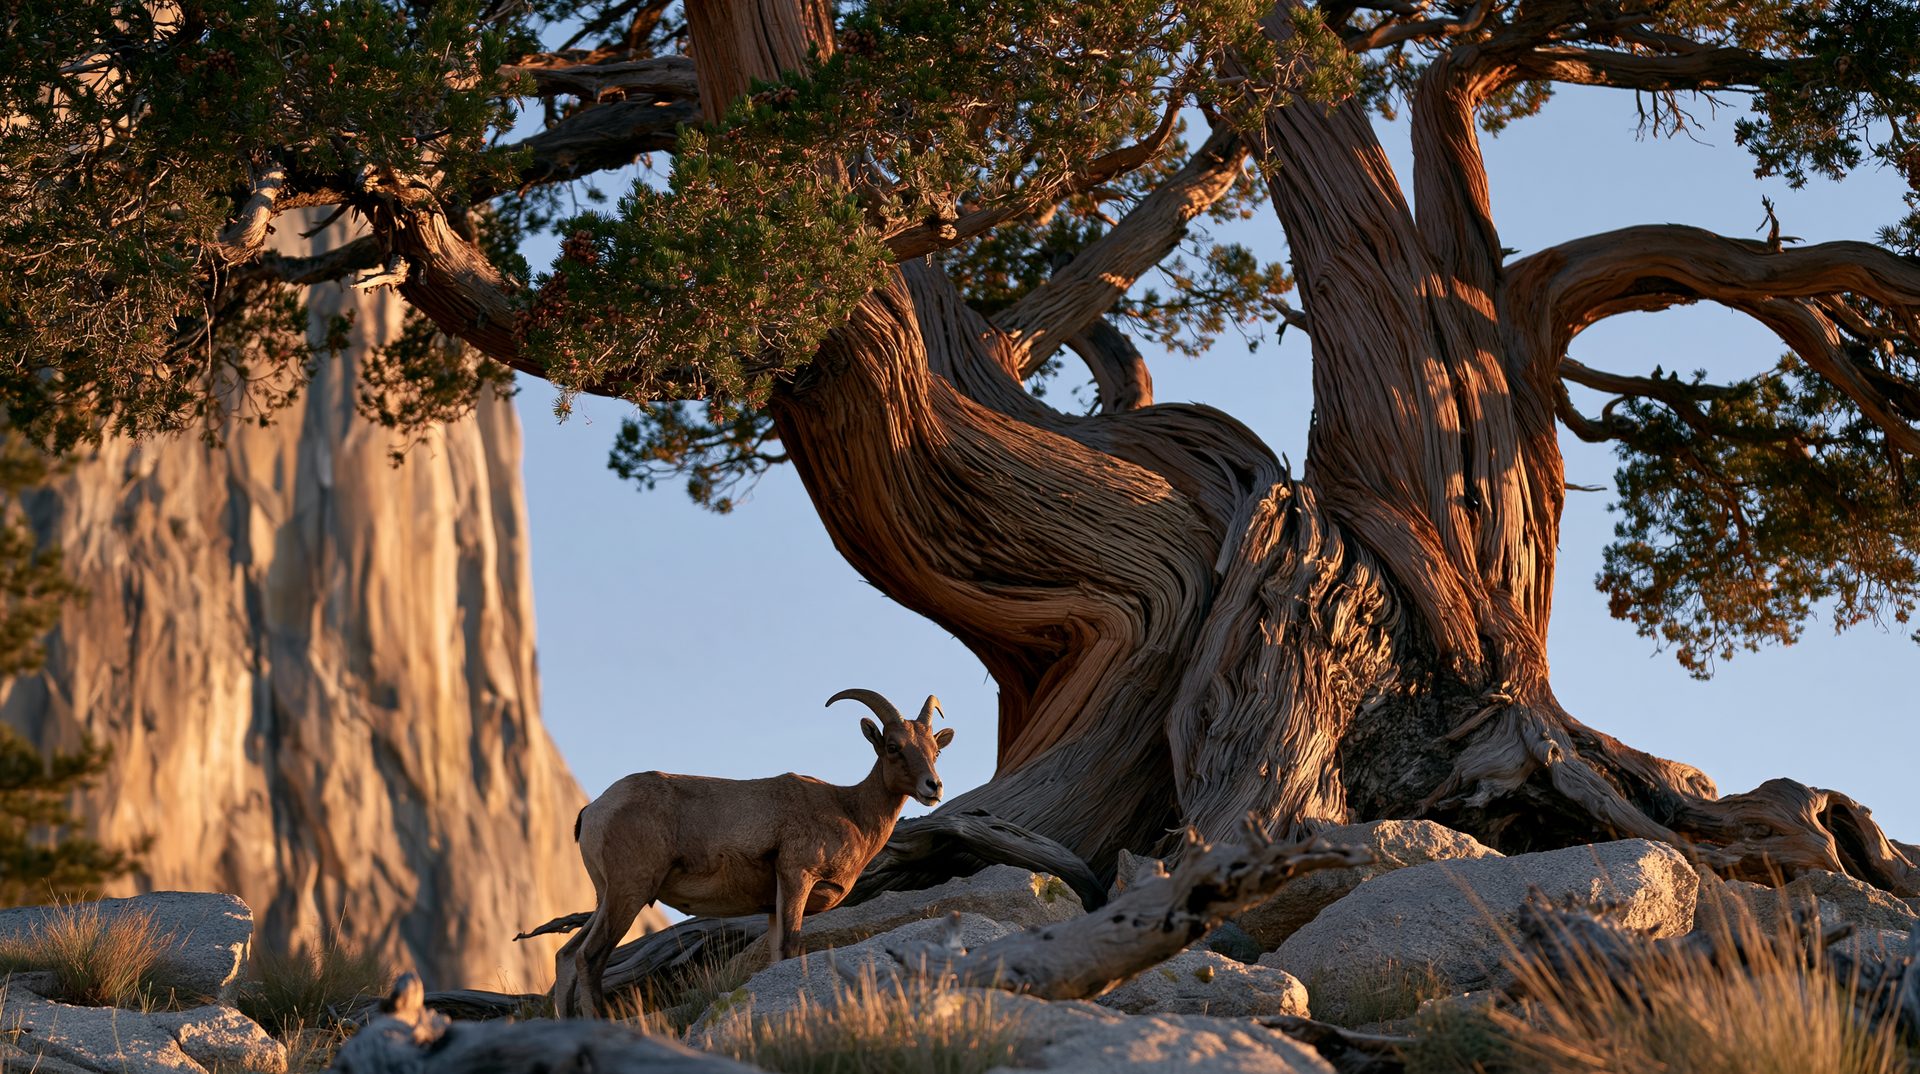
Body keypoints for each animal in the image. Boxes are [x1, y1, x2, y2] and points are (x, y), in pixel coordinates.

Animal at [551, 688, 955, 1017]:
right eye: (893, 746)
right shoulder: (796, 878)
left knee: (567, 956)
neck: (850, 810)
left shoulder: (773, 905)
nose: (933, 786)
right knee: (590, 957)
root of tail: (594, 811)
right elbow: (791, 947)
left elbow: (775, 956)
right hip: (629, 893)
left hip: (607, 896)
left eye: (935, 751)